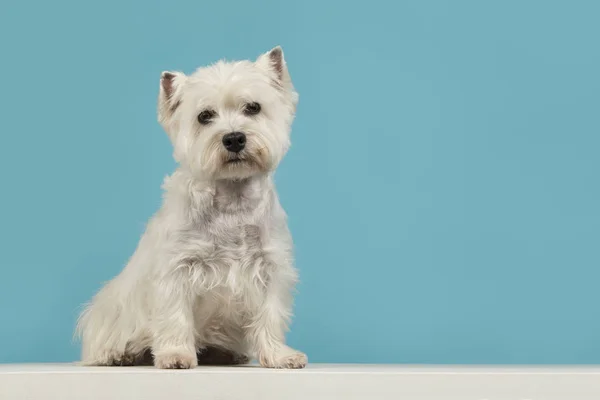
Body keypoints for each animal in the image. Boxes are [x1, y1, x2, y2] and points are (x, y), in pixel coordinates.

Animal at [77, 46, 308, 368]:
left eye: (253, 107)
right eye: (205, 116)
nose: (234, 138)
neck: (231, 198)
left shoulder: (270, 266)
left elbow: (270, 314)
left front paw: (279, 355)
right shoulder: (176, 269)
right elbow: (175, 316)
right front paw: (175, 355)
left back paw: (222, 352)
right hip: (113, 312)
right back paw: (119, 354)